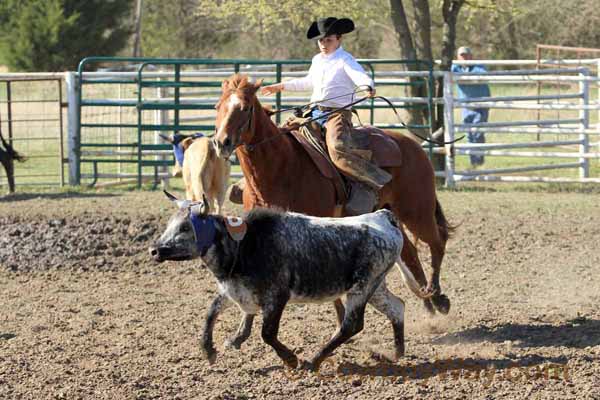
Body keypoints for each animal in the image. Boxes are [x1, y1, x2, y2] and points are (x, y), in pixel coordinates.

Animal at [213, 74, 452, 316]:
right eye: (217, 107)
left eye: (245, 107)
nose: (221, 142)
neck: (282, 167)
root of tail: (413, 145)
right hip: (391, 211)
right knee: (411, 252)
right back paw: (429, 303)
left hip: (417, 211)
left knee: (437, 242)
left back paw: (439, 297)